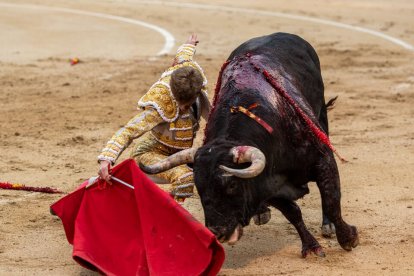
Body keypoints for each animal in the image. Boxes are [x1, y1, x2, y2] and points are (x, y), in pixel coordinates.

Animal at [140, 33, 360, 258]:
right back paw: (262, 212)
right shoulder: (266, 182)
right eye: (199, 187)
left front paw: (349, 238)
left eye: (232, 185)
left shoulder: (322, 160)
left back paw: (328, 226)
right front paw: (311, 245)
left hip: (322, 117)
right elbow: (292, 212)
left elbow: (331, 200)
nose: (217, 232)